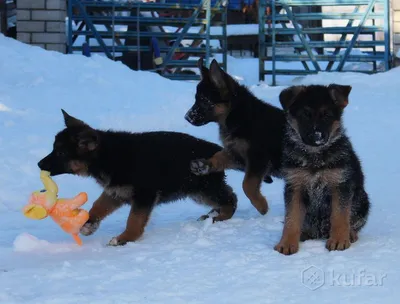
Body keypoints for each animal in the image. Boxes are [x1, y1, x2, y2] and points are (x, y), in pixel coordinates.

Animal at [37, 110, 238, 246]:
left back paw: (221, 216)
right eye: (54, 149)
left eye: (60, 153)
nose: (39, 164)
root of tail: (217, 151)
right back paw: (213, 213)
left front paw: (125, 238)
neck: (107, 156)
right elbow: (98, 205)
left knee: (231, 198)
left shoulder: (144, 195)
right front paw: (89, 223)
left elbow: (134, 219)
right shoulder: (115, 191)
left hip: (203, 188)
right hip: (197, 191)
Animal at [184, 58, 284, 216]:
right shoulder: (236, 153)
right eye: (196, 99)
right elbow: (219, 156)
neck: (237, 116)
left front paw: (261, 205)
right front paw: (205, 165)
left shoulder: (258, 158)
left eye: (205, 100)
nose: (187, 117)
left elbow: (247, 185)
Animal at [276, 84, 372, 255]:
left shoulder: (340, 184)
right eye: (305, 115)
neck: (315, 157)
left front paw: (339, 240)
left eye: (326, 116)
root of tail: (319, 233)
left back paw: (350, 234)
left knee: (353, 221)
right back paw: (304, 233)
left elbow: (340, 216)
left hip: (362, 199)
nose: (317, 137)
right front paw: (287, 242)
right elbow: (291, 218)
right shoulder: (295, 186)